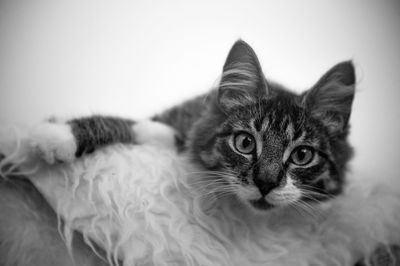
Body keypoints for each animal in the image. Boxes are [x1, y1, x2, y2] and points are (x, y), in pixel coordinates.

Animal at [30, 39, 356, 212]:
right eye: (245, 143)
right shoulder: (173, 117)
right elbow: (125, 123)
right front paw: (57, 135)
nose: (265, 183)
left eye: (302, 155)